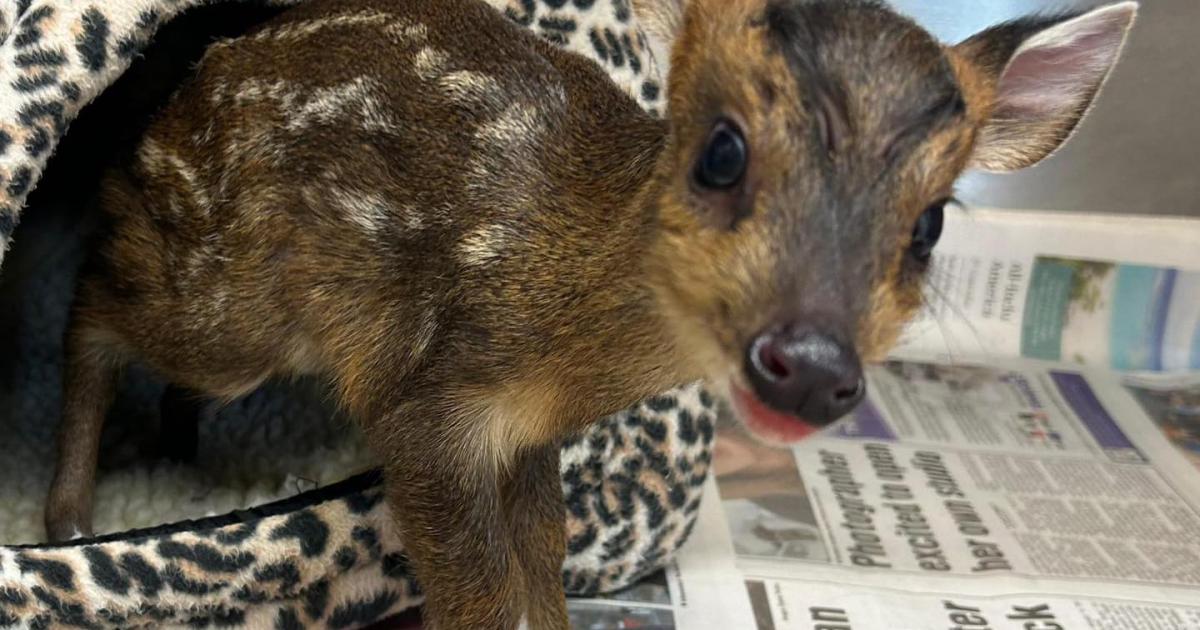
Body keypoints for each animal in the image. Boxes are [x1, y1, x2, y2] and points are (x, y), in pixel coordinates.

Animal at [43, 0, 1136, 627]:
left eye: (930, 226)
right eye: (722, 152)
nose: (814, 364)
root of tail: (170, 101)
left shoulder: (521, 438)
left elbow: (542, 564)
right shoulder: (427, 408)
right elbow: (481, 593)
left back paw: (175, 460)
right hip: (225, 298)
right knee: (94, 289)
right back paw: (66, 516)